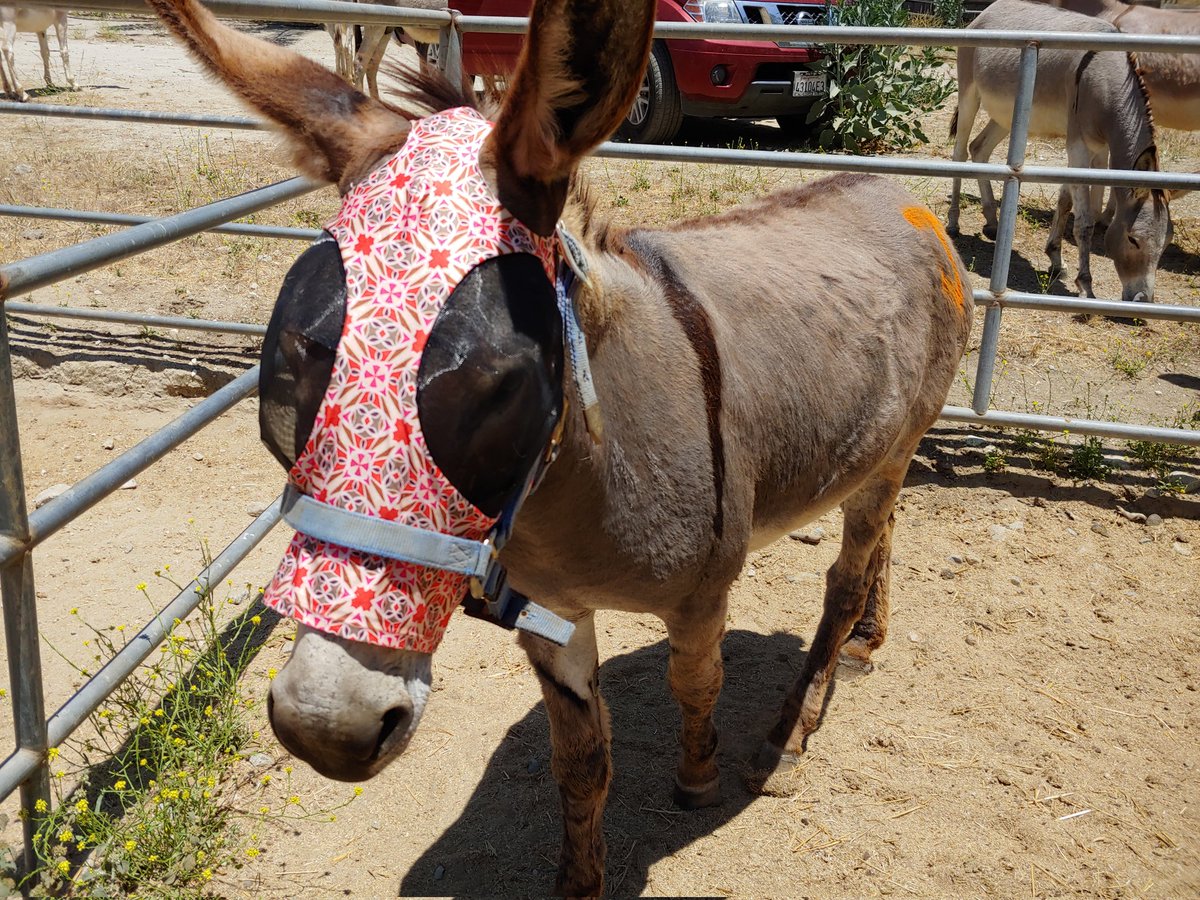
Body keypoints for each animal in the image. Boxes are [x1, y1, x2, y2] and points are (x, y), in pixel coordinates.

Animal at [147, 0, 972, 893]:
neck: (574, 487)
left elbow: (696, 682)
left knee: (844, 579)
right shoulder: (551, 614)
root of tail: (900, 194)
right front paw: (581, 879)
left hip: (895, 446)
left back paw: (791, 731)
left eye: (502, 381)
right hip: (881, 453)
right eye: (295, 358)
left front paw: (698, 776)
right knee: (884, 536)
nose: (324, 726)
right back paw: (866, 643)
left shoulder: (703, 593)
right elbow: (580, 757)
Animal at [948, 0, 1173, 303]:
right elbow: (1086, 220)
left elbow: (1066, 201)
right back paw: (953, 223)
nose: (1142, 300)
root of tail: (990, 9)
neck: (1105, 77)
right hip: (969, 92)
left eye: (1165, 244)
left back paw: (993, 221)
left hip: (1006, 116)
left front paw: (1055, 258)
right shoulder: (1078, 144)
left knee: (978, 149)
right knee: (960, 153)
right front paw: (1085, 285)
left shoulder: (1097, 148)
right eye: (1133, 239)